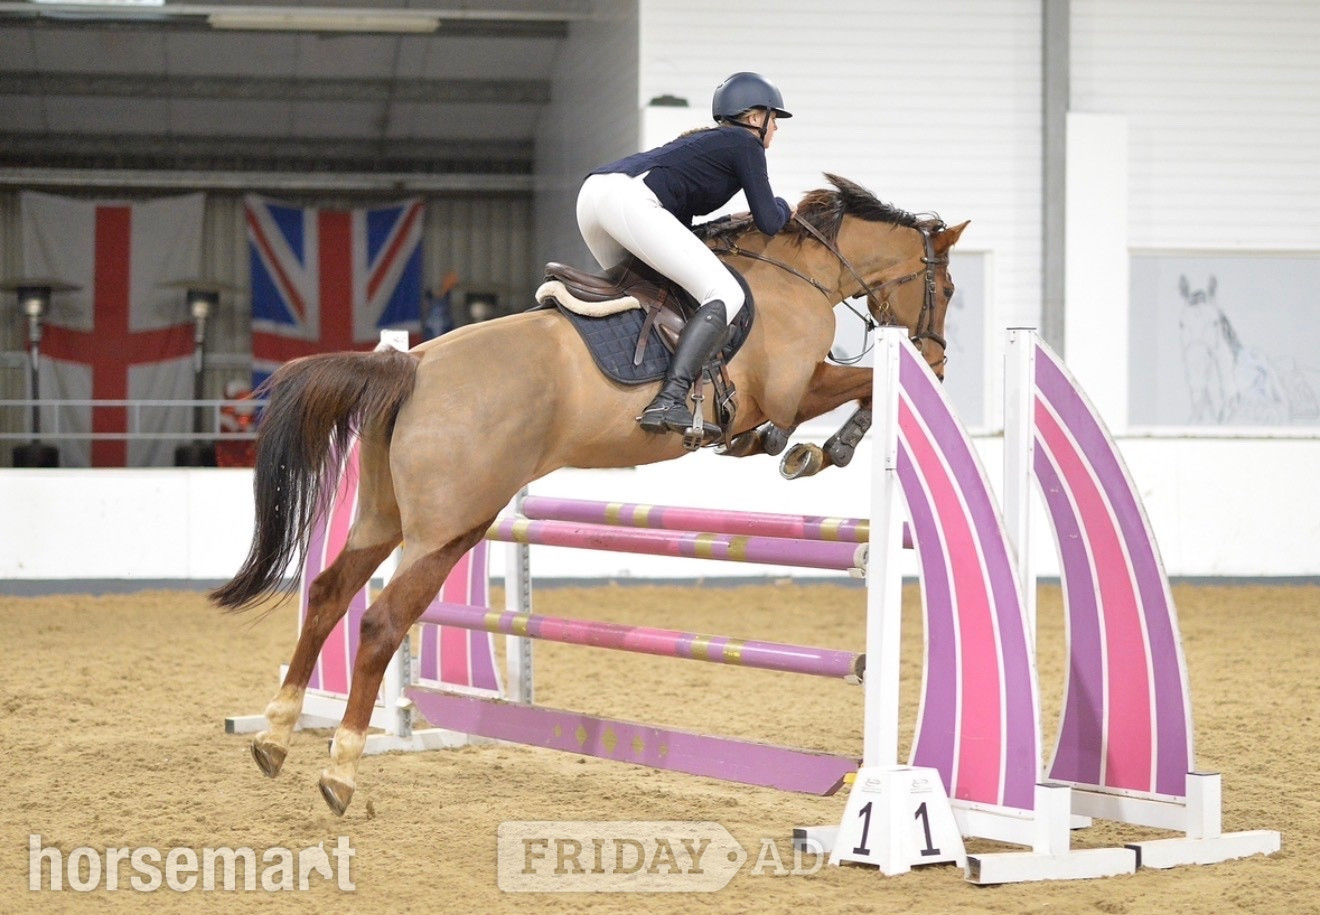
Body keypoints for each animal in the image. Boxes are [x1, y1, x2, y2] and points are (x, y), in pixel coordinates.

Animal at [212, 174, 968, 815]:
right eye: (952, 287)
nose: (936, 363)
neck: (800, 273)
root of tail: (414, 363)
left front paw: (808, 447)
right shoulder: (795, 387)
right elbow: (860, 386)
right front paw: (820, 448)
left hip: (382, 516)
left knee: (329, 594)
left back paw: (275, 737)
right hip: (449, 528)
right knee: (379, 622)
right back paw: (340, 771)